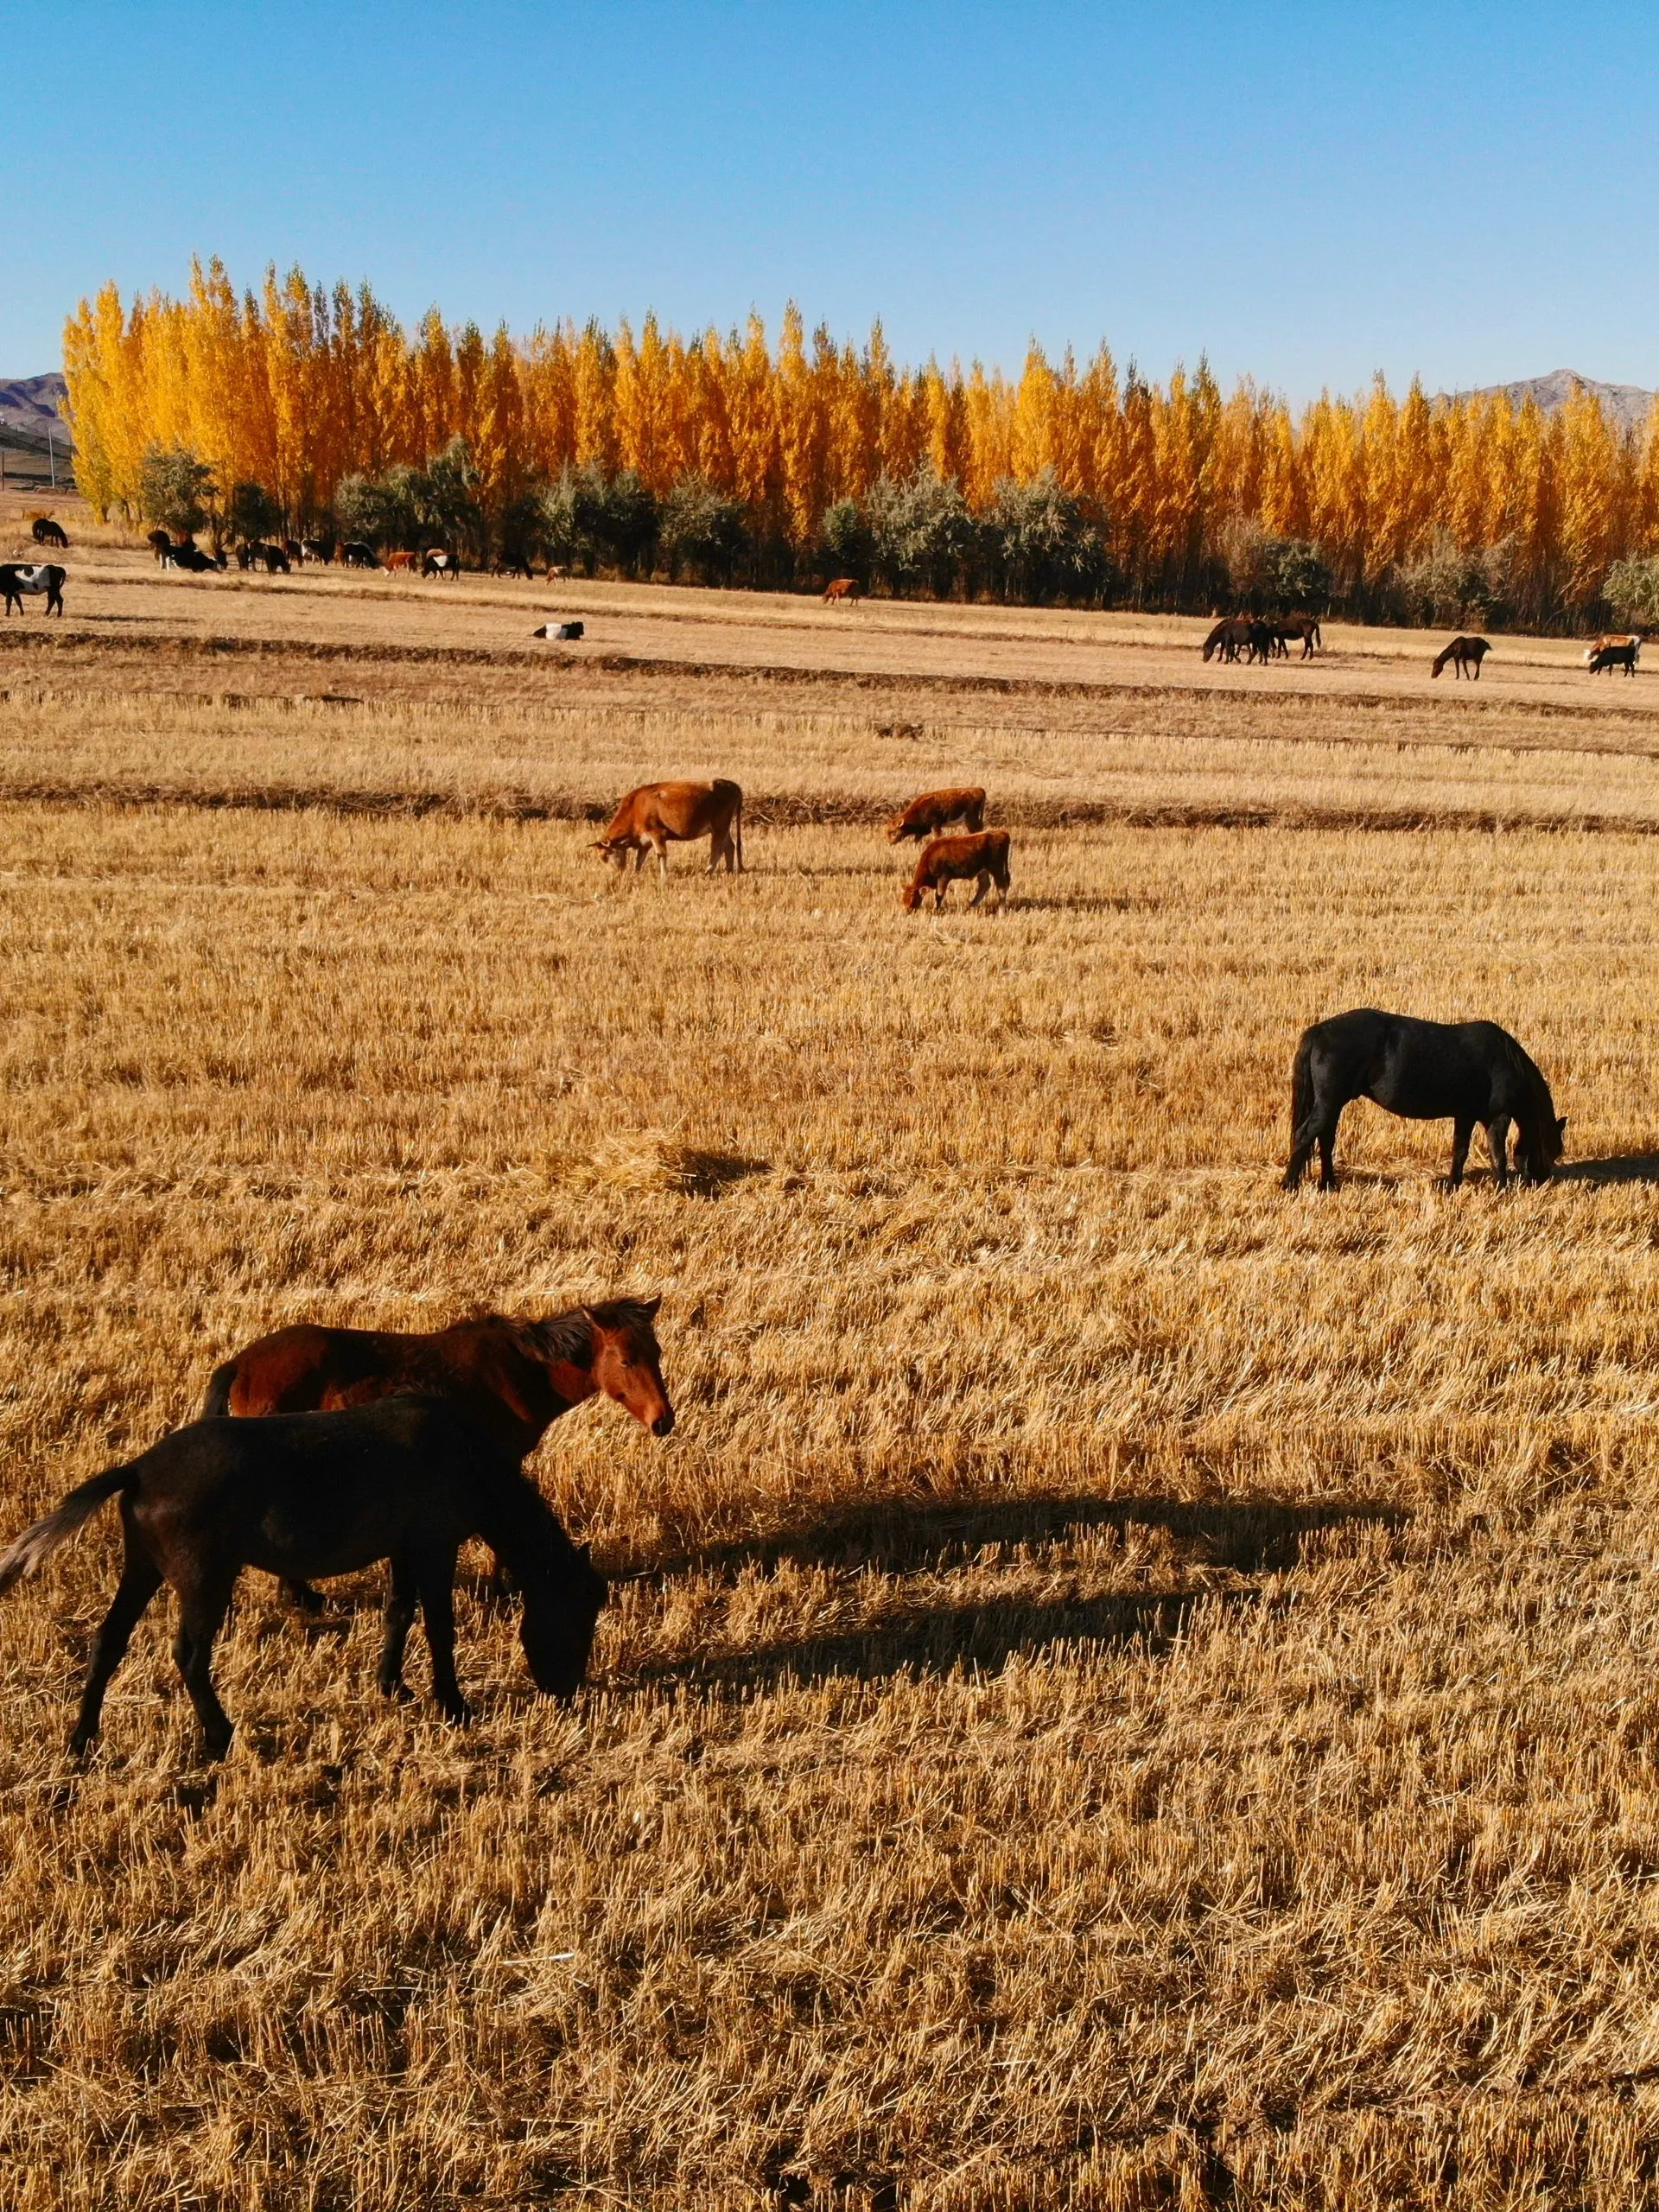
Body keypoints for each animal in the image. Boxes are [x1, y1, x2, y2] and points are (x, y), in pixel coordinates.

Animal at [0, 1397, 610, 1760]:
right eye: (580, 1614)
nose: (566, 1689)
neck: (464, 1456)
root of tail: (140, 1469)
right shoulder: (435, 1546)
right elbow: (440, 1626)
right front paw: (454, 1705)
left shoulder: (404, 1549)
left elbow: (399, 1612)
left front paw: (393, 1685)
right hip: (204, 1578)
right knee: (190, 1656)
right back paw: (219, 1735)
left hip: (142, 1567)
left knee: (108, 1642)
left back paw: (82, 1741)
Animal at [593, 783, 743, 875]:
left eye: (606, 855)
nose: (614, 874)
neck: (635, 808)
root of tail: (734, 786)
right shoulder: (645, 841)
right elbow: (640, 858)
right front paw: (637, 873)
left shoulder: (656, 834)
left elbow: (661, 855)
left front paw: (663, 876)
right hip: (724, 828)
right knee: (729, 846)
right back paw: (729, 870)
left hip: (719, 828)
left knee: (716, 848)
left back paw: (708, 871)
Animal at [1282, 1013, 1574, 1194]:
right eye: (1551, 1150)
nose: (1541, 1181)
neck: (1507, 1060)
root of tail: (1320, 1030)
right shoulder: (1498, 1117)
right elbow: (1497, 1155)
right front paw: (1502, 1189)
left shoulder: (1465, 1115)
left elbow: (1460, 1151)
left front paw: (1453, 1185)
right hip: (1329, 1103)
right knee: (1304, 1135)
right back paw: (1289, 1185)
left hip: (1332, 1104)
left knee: (1324, 1140)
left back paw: (1329, 1185)